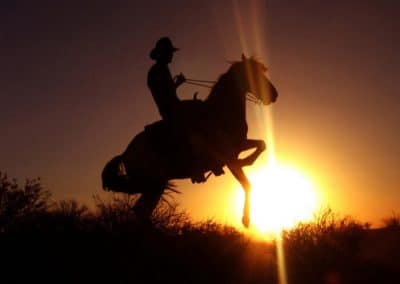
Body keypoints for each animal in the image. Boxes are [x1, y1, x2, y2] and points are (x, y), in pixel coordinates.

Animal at [101, 55, 280, 229]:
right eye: (253, 73)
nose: (274, 94)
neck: (220, 114)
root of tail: (126, 153)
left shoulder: (238, 146)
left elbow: (261, 144)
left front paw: (247, 160)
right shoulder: (228, 157)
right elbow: (247, 184)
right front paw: (246, 219)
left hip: (154, 185)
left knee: (141, 210)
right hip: (154, 184)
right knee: (141, 210)